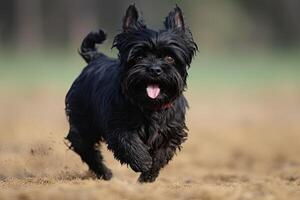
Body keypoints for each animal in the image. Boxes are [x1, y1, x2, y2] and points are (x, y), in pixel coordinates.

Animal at [65, 4, 197, 183]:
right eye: (139, 56)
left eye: (170, 58)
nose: (155, 69)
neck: (150, 106)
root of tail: (96, 58)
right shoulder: (118, 126)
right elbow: (129, 143)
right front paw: (143, 161)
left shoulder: (172, 132)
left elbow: (161, 155)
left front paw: (148, 175)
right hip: (83, 123)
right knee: (84, 146)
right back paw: (105, 173)